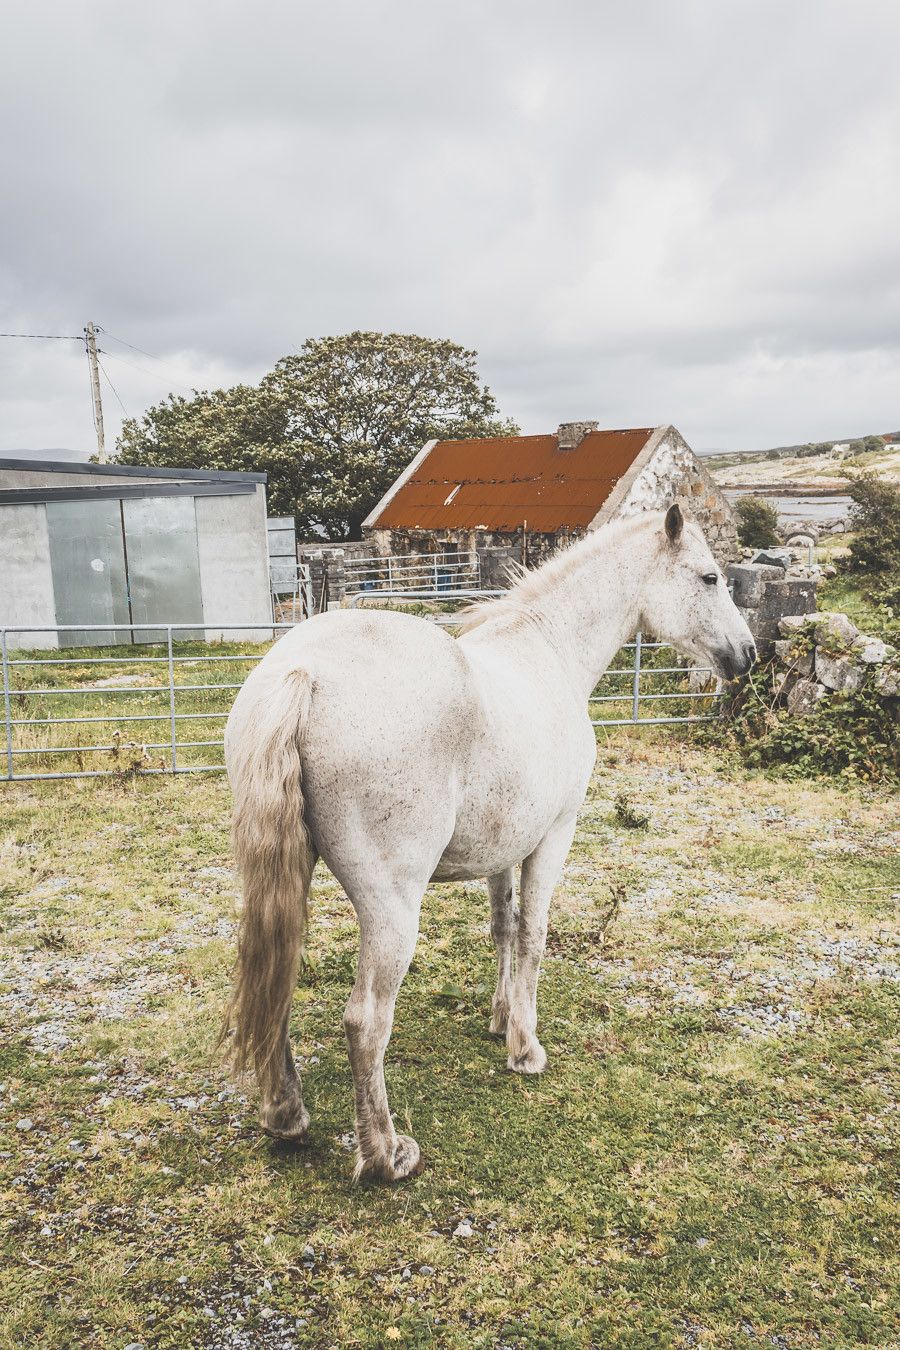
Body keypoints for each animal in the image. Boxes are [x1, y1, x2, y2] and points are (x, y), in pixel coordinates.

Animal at [221, 507, 755, 1182]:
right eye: (710, 577)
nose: (747, 653)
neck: (550, 653)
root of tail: (303, 674)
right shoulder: (553, 836)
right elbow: (534, 934)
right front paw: (525, 1048)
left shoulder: (503, 849)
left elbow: (503, 928)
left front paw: (501, 1018)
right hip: (392, 908)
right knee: (366, 1020)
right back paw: (385, 1155)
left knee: (278, 988)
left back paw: (287, 1119)